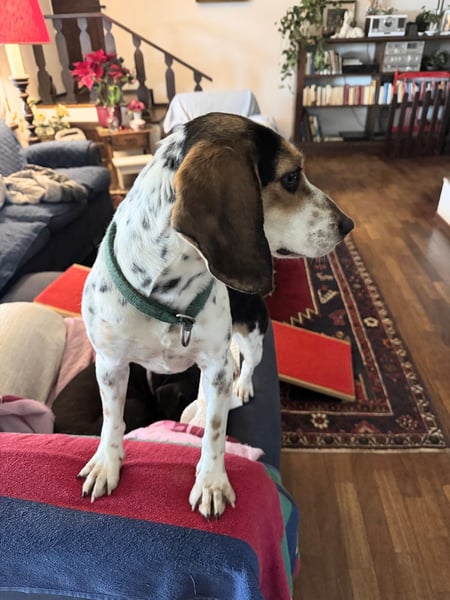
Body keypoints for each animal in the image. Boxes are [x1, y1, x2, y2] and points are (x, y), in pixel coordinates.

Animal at [79, 112, 354, 518]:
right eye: (291, 177)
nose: (348, 225)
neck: (167, 297)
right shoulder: (110, 365)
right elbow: (113, 419)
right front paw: (106, 464)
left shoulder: (217, 365)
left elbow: (214, 429)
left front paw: (211, 482)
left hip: (252, 337)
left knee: (246, 366)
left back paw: (242, 386)